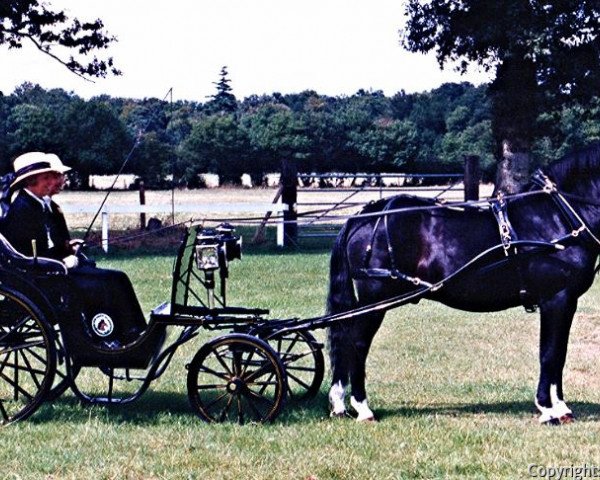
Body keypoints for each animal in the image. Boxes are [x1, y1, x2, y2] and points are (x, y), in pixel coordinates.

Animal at [326, 143, 600, 424]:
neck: (555, 217)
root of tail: (365, 215)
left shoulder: (565, 302)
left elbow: (559, 354)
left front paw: (561, 407)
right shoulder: (555, 299)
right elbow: (549, 353)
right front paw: (547, 408)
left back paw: (340, 403)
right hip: (375, 300)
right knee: (357, 344)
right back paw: (362, 407)